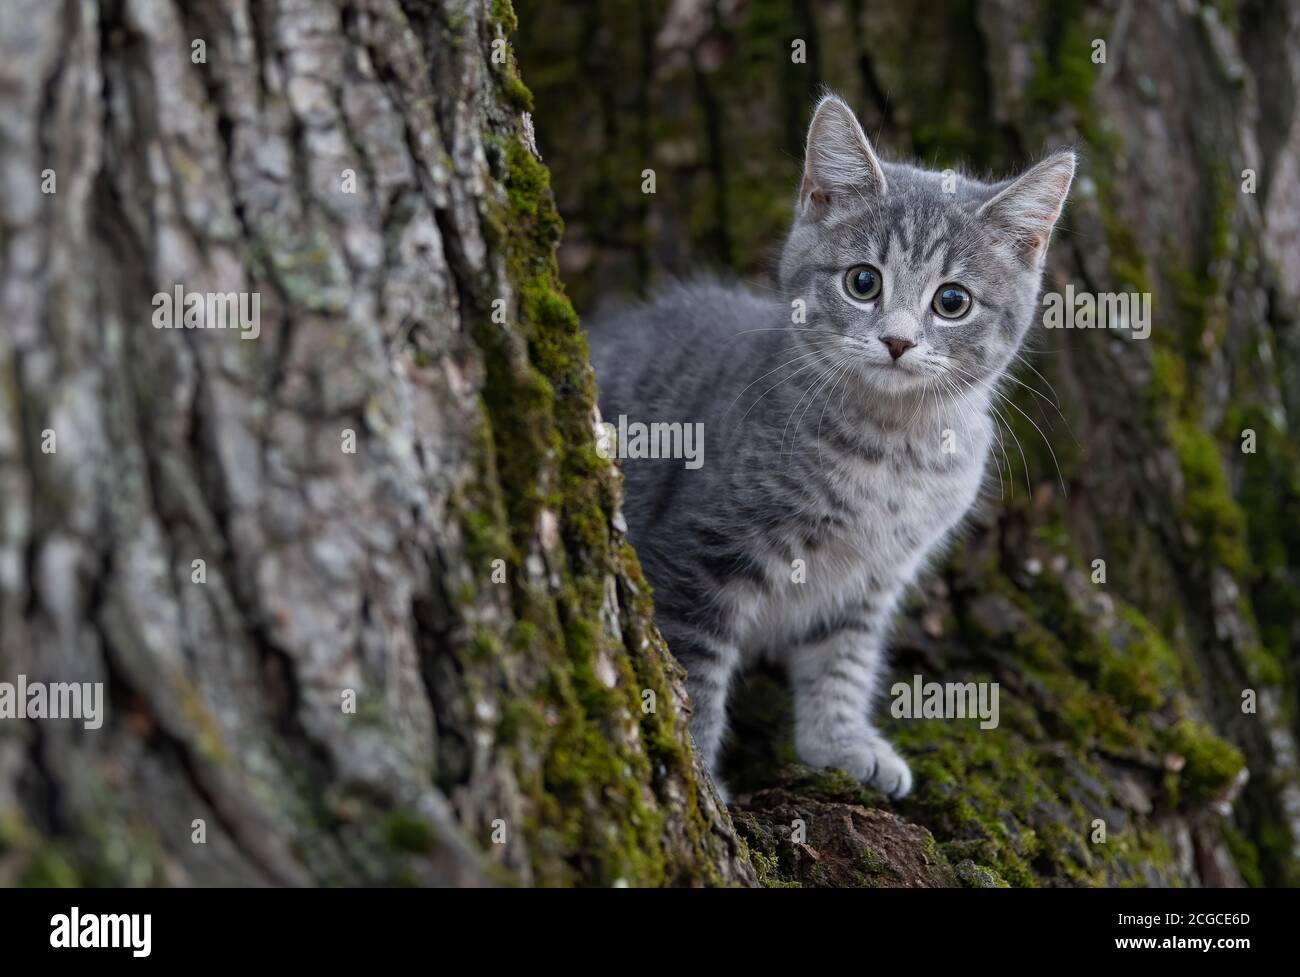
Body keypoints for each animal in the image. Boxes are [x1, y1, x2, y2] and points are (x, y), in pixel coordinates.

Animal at [590, 91, 1076, 795]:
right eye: (863, 283)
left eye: (952, 301)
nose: (897, 340)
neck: (893, 451)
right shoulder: (696, 554)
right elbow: (695, 671)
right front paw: (700, 775)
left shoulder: (869, 579)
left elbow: (842, 659)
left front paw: (839, 741)